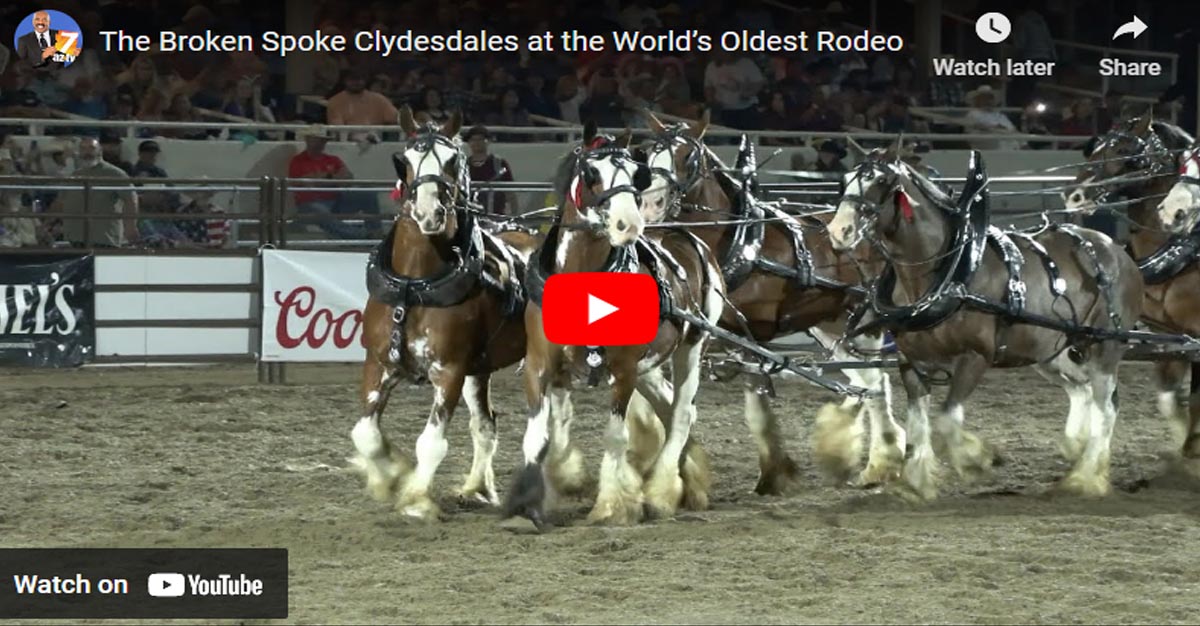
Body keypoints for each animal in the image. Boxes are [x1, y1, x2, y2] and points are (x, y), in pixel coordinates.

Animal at [348, 107, 535, 515]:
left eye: (452, 161)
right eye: (405, 160)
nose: (428, 213)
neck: (413, 285)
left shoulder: (449, 370)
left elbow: (431, 443)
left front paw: (416, 497)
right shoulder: (379, 364)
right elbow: (365, 433)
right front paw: (391, 475)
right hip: (479, 371)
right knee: (486, 426)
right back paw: (476, 488)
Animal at [501, 121, 724, 525]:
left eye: (636, 175)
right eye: (592, 173)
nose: (629, 225)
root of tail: (686, 235)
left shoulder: (623, 369)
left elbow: (615, 436)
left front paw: (612, 505)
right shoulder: (542, 364)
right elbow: (542, 432)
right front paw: (528, 502)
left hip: (692, 346)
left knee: (682, 412)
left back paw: (663, 490)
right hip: (650, 365)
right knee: (669, 407)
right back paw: (686, 479)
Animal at [633, 110, 902, 486]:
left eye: (688, 157)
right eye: (649, 155)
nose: (651, 205)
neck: (736, 240)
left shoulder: (750, 334)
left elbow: (755, 399)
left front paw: (774, 472)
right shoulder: (726, 334)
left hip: (867, 322)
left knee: (879, 384)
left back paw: (883, 459)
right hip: (831, 327)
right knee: (868, 382)